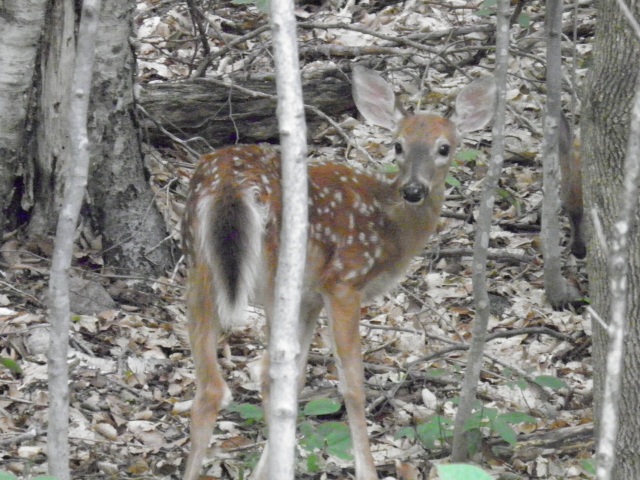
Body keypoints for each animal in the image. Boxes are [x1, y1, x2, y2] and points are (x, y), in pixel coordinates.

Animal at [182, 66, 498, 480]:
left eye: (444, 148)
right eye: (398, 145)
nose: (414, 190)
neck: (391, 228)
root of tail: (231, 186)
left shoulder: (311, 298)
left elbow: (299, 376)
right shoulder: (344, 282)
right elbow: (352, 385)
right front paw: (367, 470)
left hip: (198, 266)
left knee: (211, 387)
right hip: (275, 273)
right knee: (264, 370)